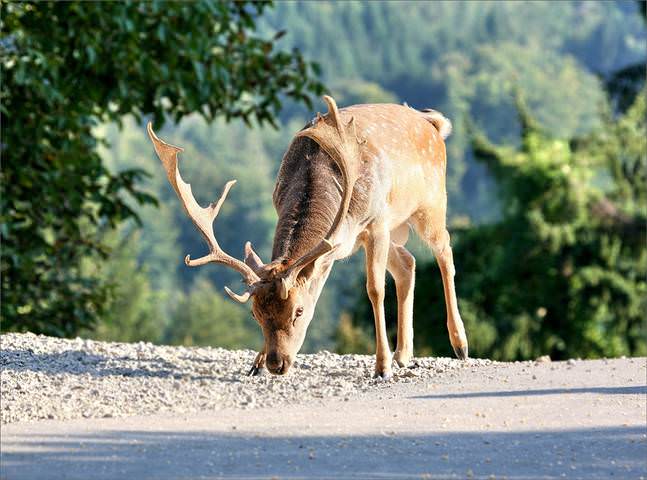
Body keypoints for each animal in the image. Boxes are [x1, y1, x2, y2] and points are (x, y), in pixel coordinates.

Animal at [147, 95, 468, 379]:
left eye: (298, 311)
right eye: (255, 314)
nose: (277, 363)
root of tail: (432, 123)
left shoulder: (376, 222)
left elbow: (375, 289)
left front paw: (381, 367)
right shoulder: (338, 244)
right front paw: (255, 364)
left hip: (430, 204)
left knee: (445, 252)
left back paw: (459, 344)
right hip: (391, 230)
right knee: (407, 263)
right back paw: (404, 354)